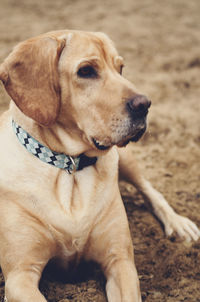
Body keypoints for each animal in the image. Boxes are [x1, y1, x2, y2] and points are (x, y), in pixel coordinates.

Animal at [0, 28, 199, 302]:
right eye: (86, 71)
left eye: (121, 68)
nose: (144, 104)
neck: (69, 169)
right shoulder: (20, 276)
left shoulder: (120, 261)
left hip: (125, 160)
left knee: (150, 190)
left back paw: (178, 224)